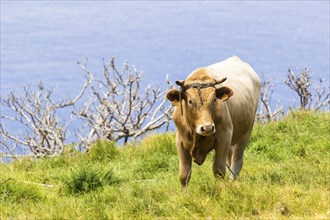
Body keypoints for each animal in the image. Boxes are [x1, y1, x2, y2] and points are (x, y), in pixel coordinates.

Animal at [166, 55, 262, 189]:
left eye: (214, 100)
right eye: (190, 101)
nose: (207, 128)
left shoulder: (224, 136)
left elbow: (219, 170)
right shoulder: (180, 140)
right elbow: (184, 175)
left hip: (246, 132)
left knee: (236, 160)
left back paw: (232, 182)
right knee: (230, 157)